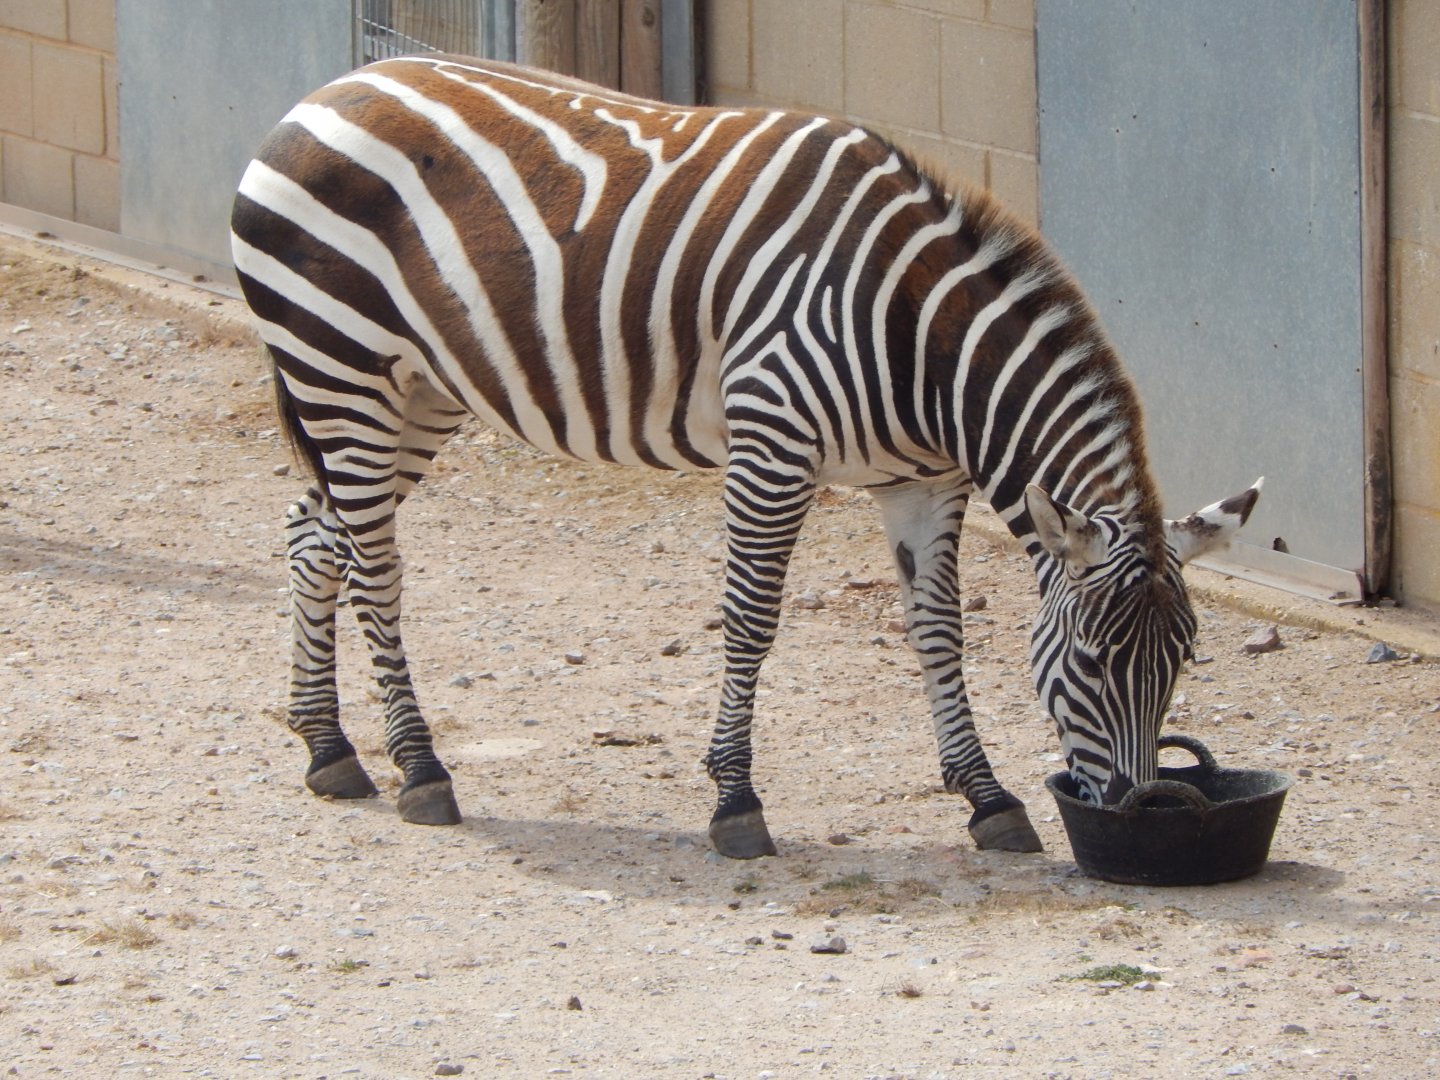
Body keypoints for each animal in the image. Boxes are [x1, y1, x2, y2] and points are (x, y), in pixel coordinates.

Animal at [230, 56, 1260, 859]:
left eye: (1183, 660)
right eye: (1089, 660)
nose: (1146, 805)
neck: (918, 341)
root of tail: (327, 88)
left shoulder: (923, 484)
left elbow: (939, 632)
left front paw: (988, 798)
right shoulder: (772, 445)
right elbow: (752, 620)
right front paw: (735, 801)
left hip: (416, 392)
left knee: (312, 537)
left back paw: (330, 750)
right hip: (341, 368)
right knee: (376, 569)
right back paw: (419, 768)